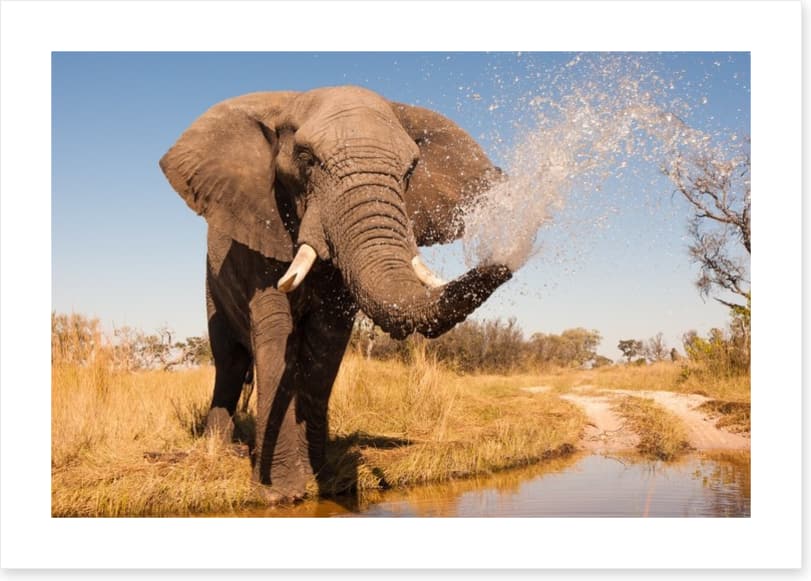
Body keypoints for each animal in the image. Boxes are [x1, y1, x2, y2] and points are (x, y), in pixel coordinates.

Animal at [160, 86, 512, 502]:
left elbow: (325, 341)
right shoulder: (260, 228)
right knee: (228, 360)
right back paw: (219, 449)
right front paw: (280, 493)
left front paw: (322, 480)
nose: (505, 263)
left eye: (410, 170)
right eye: (306, 159)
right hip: (212, 285)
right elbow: (275, 331)